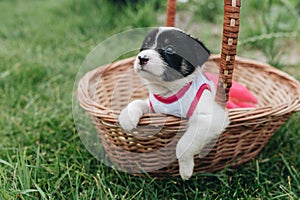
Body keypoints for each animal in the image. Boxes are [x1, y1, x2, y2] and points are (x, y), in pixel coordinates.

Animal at [118, 27, 229, 180]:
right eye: (146, 45)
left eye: (169, 49)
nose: (142, 58)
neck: (169, 90)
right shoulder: (155, 107)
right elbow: (139, 102)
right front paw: (127, 117)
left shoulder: (210, 118)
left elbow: (183, 144)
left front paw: (186, 170)